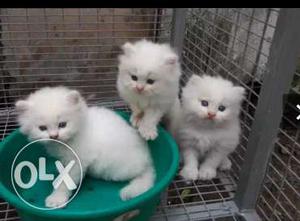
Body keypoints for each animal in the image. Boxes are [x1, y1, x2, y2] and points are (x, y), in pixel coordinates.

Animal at [14, 86, 155, 207]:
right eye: (42, 128)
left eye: (62, 125)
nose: (54, 136)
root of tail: (147, 159)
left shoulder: (77, 161)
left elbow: (65, 182)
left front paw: (56, 198)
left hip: (119, 170)